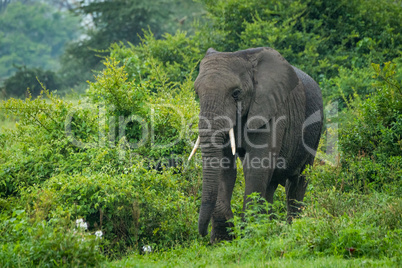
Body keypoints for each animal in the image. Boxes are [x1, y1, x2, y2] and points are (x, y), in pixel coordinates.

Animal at [188, 46, 324, 243]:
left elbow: (257, 165)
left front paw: (248, 235)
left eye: (236, 93)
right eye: (197, 94)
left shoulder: (272, 110)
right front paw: (224, 238)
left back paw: (291, 228)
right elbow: (224, 166)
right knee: (271, 184)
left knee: (298, 182)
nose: (203, 233)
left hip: (315, 130)